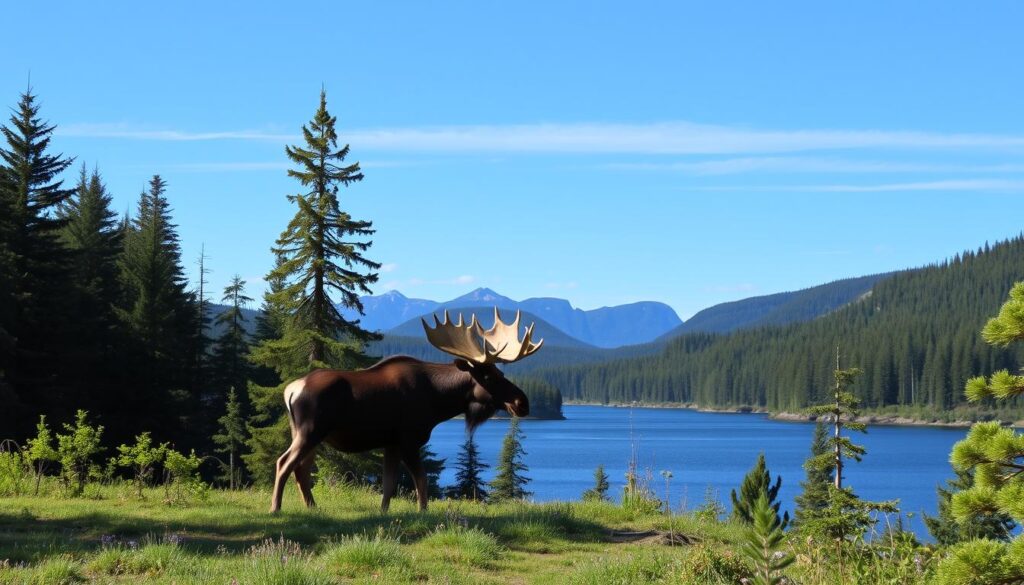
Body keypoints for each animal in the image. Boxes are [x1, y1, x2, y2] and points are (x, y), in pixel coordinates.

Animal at [270, 307, 544, 512]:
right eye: (488, 376)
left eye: (501, 373)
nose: (522, 402)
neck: (437, 401)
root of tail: (291, 390)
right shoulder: (408, 439)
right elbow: (421, 479)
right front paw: (423, 511)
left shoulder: (391, 443)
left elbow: (389, 484)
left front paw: (383, 512)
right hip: (310, 431)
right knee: (284, 462)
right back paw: (276, 507)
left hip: (310, 434)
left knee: (301, 468)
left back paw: (312, 507)